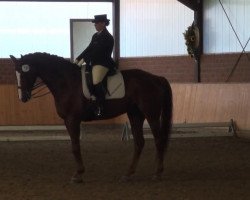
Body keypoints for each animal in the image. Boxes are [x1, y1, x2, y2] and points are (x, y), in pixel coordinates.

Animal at [9, 52, 172, 183]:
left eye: (24, 73)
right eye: (16, 74)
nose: (23, 97)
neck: (66, 81)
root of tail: (156, 78)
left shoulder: (72, 120)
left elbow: (75, 147)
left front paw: (78, 174)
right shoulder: (68, 121)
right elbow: (75, 146)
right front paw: (79, 173)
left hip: (151, 114)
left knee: (158, 140)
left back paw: (157, 173)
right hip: (135, 114)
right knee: (139, 143)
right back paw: (128, 174)